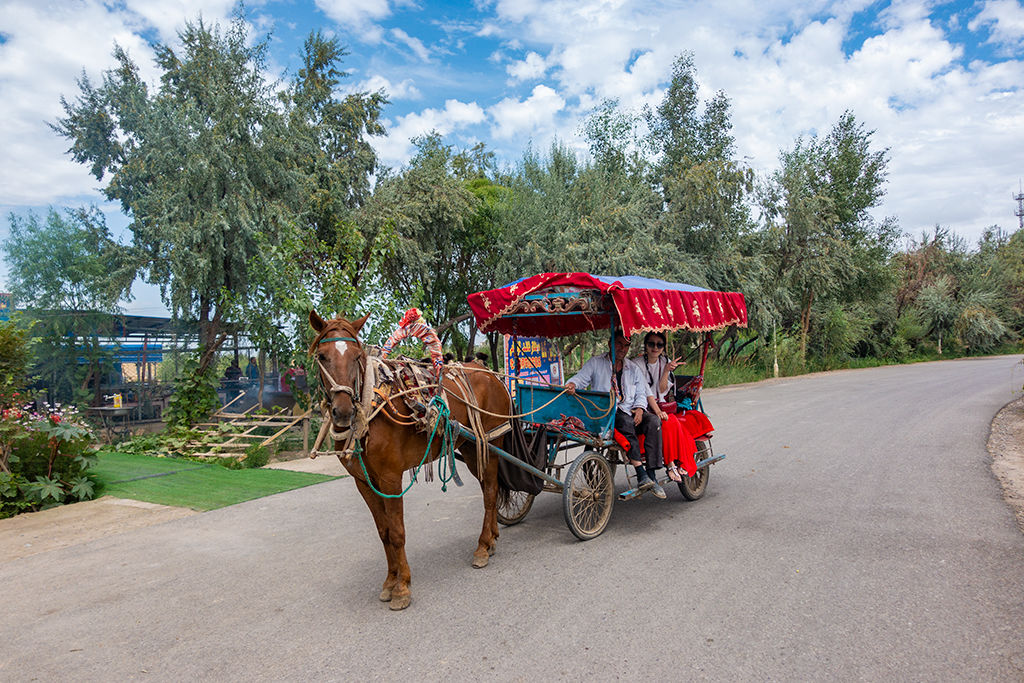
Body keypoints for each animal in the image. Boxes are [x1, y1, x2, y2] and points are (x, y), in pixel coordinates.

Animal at [305, 309, 509, 610]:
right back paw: (492, 538)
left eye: (357, 356)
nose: (342, 411)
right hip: (472, 448)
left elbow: (397, 532)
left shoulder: (390, 478)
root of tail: (493, 375)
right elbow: (384, 532)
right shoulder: (363, 481)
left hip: (492, 443)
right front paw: (390, 581)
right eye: (322, 356)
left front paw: (402, 588)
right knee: (487, 490)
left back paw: (482, 546)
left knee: (492, 492)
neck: (371, 406)